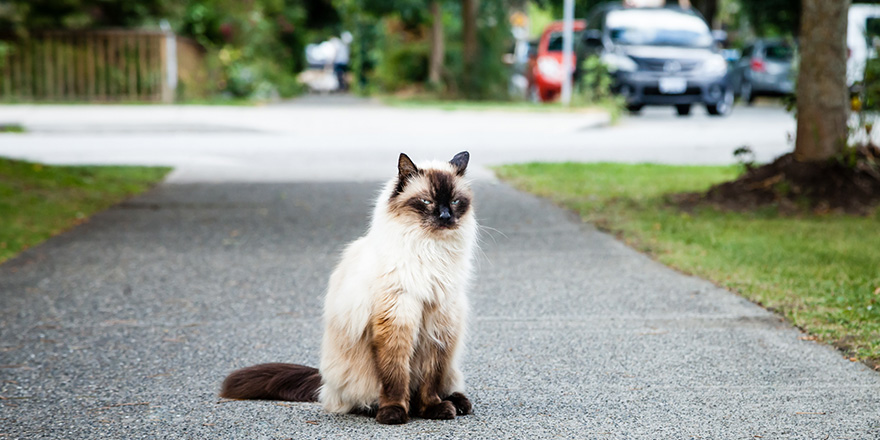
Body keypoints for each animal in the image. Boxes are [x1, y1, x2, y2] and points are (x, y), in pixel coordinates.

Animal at [223, 150, 478, 422]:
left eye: (455, 202)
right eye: (426, 201)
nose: (445, 217)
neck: (430, 250)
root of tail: (324, 383)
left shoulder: (438, 325)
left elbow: (431, 381)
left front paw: (434, 409)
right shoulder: (396, 320)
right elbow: (395, 376)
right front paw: (394, 413)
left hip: (451, 363)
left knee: (444, 385)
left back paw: (457, 403)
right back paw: (384, 408)